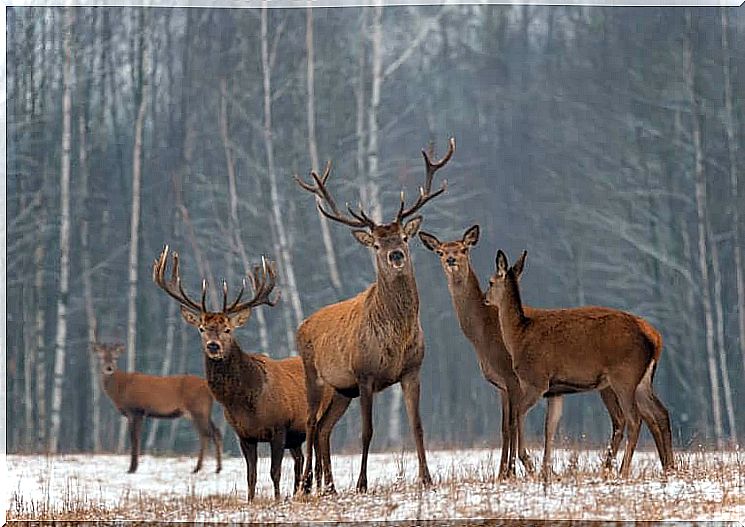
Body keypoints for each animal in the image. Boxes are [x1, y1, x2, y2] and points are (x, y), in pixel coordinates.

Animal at [92, 342, 221, 474]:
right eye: (101, 357)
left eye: (115, 358)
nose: (109, 368)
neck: (121, 387)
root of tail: (208, 388)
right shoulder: (133, 414)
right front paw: (133, 467)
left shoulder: (136, 410)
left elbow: (135, 439)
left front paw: (132, 468)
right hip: (201, 412)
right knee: (215, 432)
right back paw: (216, 468)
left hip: (198, 408)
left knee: (206, 434)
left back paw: (199, 468)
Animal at [153, 249, 330, 504]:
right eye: (202, 328)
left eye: (228, 329)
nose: (213, 346)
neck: (247, 403)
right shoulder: (244, 435)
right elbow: (251, 475)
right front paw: (251, 501)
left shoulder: (279, 427)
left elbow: (274, 471)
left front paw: (277, 500)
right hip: (296, 436)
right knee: (300, 460)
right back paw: (300, 491)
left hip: (314, 419)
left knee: (317, 453)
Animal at [294, 136, 456, 496]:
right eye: (377, 244)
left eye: (404, 236)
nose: (395, 255)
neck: (395, 338)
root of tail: (302, 325)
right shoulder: (365, 373)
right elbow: (367, 431)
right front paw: (362, 483)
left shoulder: (412, 370)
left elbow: (417, 425)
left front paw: (427, 478)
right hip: (314, 375)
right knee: (310, 423)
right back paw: (306, 484)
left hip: (342, 390)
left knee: (324, 428)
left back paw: (329, 486)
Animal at [418, 225, 628, 480]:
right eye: (440, 251)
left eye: (463, 249)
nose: (451, 260)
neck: (484, 335)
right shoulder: (501, 384)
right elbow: (504, 427)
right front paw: (502, 473)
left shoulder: (512, 377)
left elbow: (512, 424)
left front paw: (510, 472)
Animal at [482, 250, 676, 480]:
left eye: (490, 281)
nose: (484, 298)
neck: (518, 336)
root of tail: (655, 339)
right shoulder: (555, 390)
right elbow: (550, 426)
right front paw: (546, 471)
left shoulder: (536, 380)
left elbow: (518, 413)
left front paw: (528, 461)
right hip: (643, 380)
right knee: (661, 412)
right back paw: (670, 467)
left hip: (624, 377)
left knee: (635, 419)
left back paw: (623, 470)